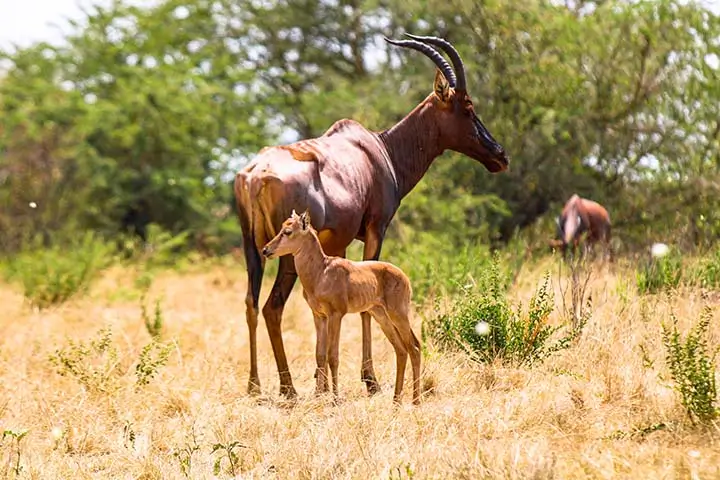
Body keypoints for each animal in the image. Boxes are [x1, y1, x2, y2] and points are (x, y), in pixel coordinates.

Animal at [262, 210, 422, 404]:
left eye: (287, 231)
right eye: (281, 227)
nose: (265, 250)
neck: (321, 272)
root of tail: (405, 277)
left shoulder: (336, 315)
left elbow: (333, 356)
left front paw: (335, 399)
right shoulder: (319, 316)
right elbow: (320, 355)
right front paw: (320, 396)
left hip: (398, 315)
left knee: (414, 347)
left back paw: (415, 401)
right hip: (381, 316)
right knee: (401, 350)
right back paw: (396, 400)